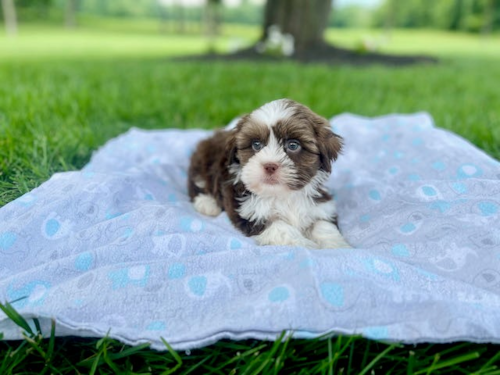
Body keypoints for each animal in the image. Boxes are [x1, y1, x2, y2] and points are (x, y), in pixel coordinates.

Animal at [188, 99, 352, 250]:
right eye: (256, 144)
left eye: (293, 145)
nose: (269, 166)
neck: (282, 195)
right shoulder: (250, 212)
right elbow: (279, 227)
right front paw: (305, 245)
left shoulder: (320, 206)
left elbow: (323, 225)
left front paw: (336, 246)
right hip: (204, 163)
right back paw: (207, 203)